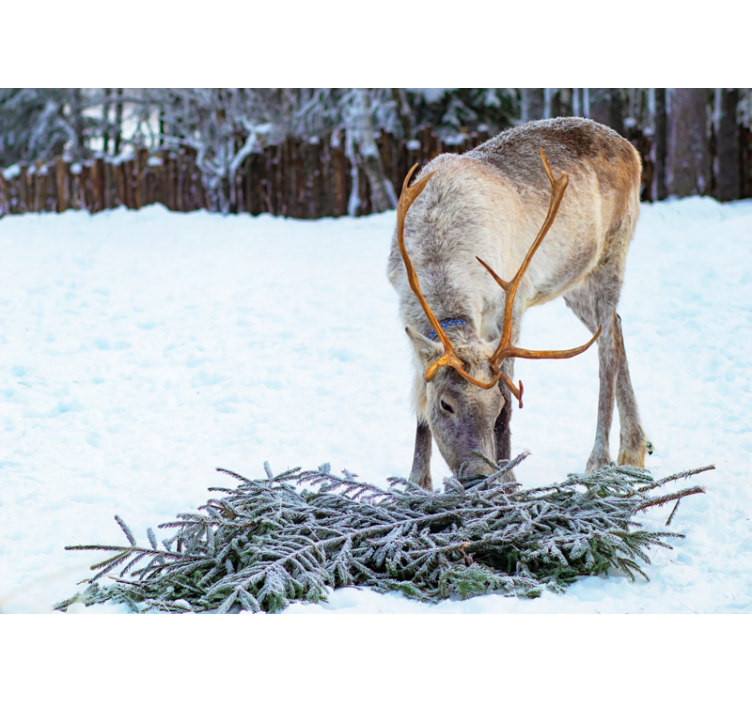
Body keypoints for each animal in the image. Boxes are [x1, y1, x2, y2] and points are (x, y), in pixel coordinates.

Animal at [386, 117, 649, 490]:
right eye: (446, 404)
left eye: (495, 407)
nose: (477, 476)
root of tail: (632, 150)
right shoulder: (407, 310)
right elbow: (419, 404)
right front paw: (417, 483)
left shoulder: (508, 307)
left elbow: (511, 396)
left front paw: (507, 478)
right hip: (573, 282)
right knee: (616, 326)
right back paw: (634, 450)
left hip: (611, 255)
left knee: (608, 350)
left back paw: (599, 459)